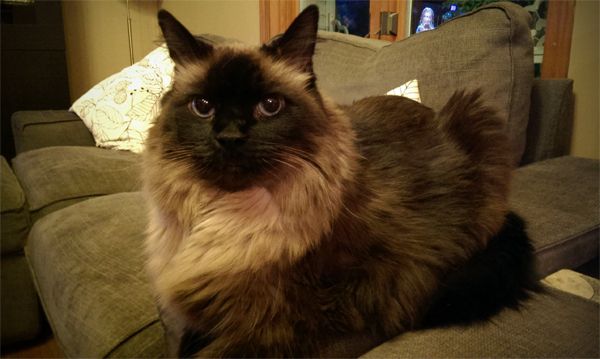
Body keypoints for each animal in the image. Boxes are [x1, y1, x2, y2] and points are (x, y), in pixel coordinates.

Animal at [142, 5, 540, 359]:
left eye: (269, 106)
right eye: (203, 107)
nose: (229, 138)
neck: (224, 214)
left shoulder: (279, 320)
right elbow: (185, 343)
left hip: (476, 119)